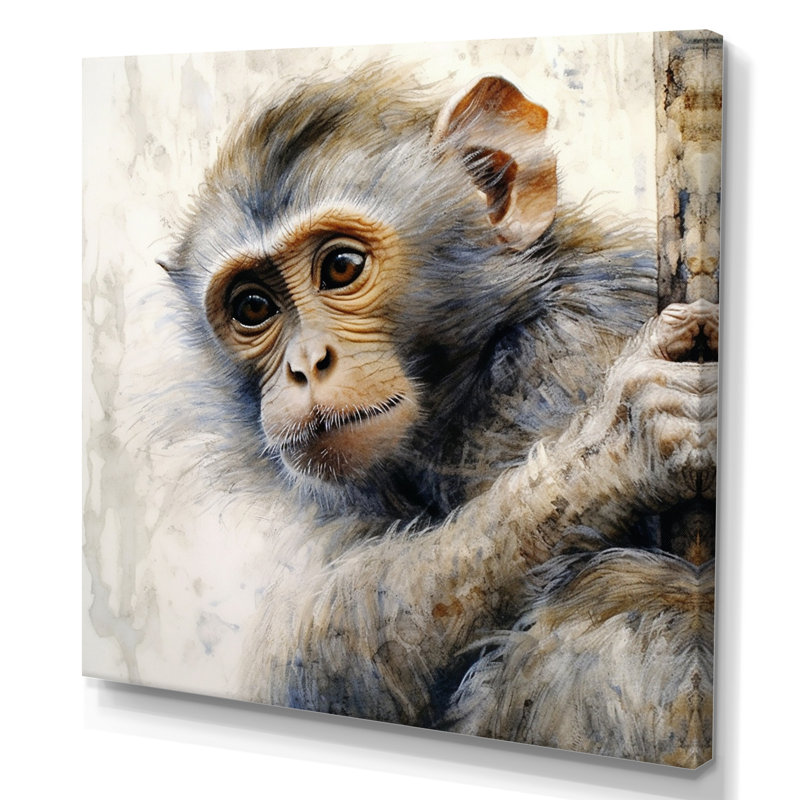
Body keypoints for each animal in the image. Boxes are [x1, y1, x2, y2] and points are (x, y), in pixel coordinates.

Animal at [156, 68, 717, 767]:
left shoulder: (562, 362)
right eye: (253, 306)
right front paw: (612, 455)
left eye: (340, 267)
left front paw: (616, 449)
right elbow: (315, 656)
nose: (307, 366)